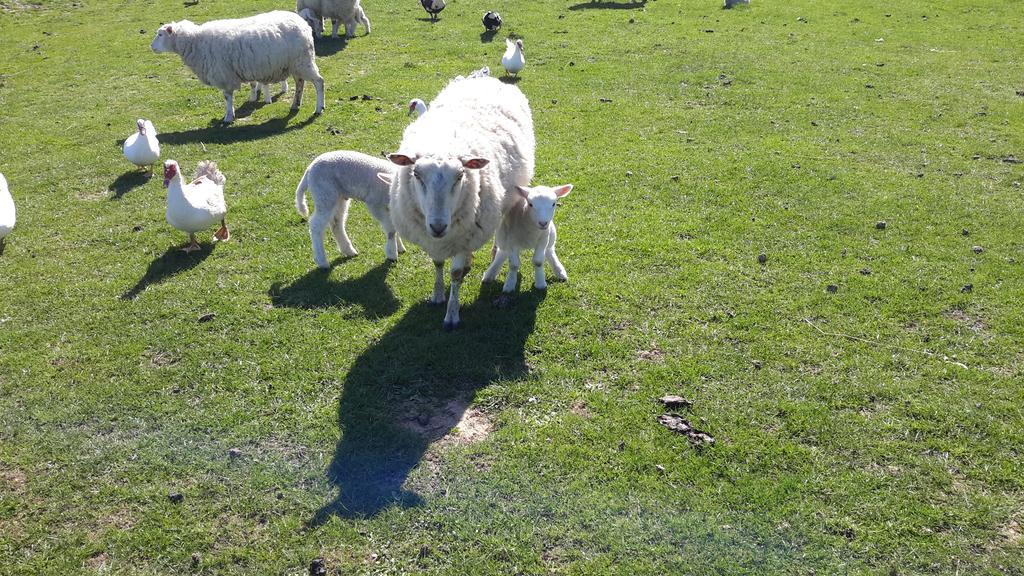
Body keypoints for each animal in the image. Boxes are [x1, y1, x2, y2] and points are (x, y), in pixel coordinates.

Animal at [148, 11, 321, 123]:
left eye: (160, 35)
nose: (152, 47)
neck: (196, 42)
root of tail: (303, 23)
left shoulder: (224, 74)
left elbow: (227, 97)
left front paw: (228, 117)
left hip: (303, 61)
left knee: (319, 82)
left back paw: (319, 108)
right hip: (296, 64)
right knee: (300, 83)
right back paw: (295, 105)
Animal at [382, 75, 536, 327]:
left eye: (461, 175)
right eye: (416, 174)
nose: (438, 226)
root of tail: (484, 77)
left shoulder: (465, 237)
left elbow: (455, 275)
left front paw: (452, 315)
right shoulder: (434, 240)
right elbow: (437, 264)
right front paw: (437, 295)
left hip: (506, 200)